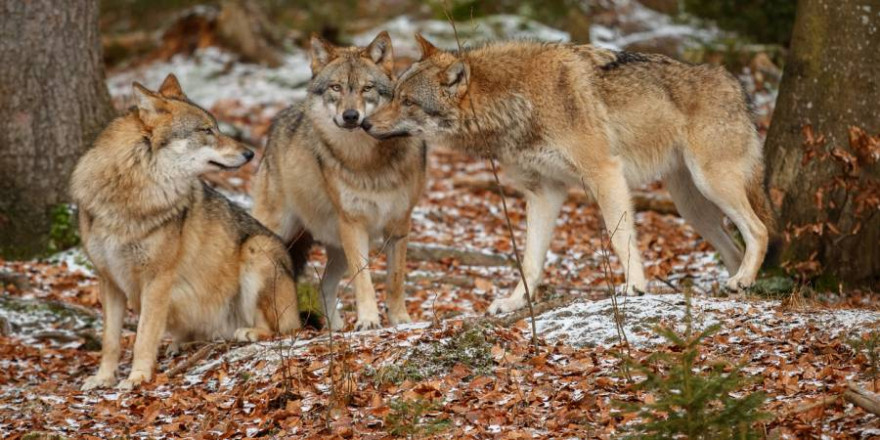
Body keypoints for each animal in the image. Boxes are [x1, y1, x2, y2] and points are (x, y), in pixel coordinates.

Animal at [73, 74, 300, 390]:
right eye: (207, 130)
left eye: (216, 127)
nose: (250, 153)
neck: (132, 193)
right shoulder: (108, 280)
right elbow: (110, 341)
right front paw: (103, 378)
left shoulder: (158, 279)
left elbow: (143, 337)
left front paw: (137, 378)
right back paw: (181, 344)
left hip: (257, 250)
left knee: (282, 329)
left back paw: (248, 332)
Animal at [251, 32, 426, 330]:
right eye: (336, 87)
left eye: (367, 88)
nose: (351, 116)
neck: (367, 161)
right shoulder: (353, 224)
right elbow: (364, 280)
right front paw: (368, 320)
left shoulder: (399, 224)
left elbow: (395, 281)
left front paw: (400, 319)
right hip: (276, 234)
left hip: (337, 249)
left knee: (324, 287)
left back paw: (334, 329)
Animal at [360, 36, 772, 314]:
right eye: (392, 94)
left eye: (407, 101)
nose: (363, 123)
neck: (517, 101)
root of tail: (737, 85)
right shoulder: (544, 193)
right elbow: (530, 261)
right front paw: (514, 303)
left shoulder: (605, 174)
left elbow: (620, 238)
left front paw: (634, 287)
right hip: (692, 208)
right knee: (735, 247)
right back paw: (735, 288)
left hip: (712, 185)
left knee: (760, 230)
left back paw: (743, 279)